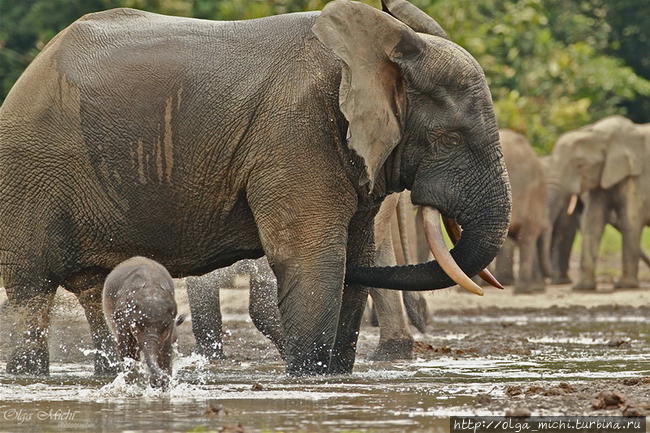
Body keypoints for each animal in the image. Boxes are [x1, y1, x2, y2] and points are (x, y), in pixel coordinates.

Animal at [0, 0, 508, 374]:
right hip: (29, 179)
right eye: (451, 138)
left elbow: (355, 257)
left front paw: (335, 377)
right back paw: (29, 374)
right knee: (30, 293)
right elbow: (315, 260)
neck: (365, 57)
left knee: (94, 291)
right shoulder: (294, 135)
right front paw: (308, 378)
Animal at [102, 256, 182, 388]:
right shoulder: (123, 317)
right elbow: (127, 351)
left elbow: (165, 351)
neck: (151, 287)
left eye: (165, 327)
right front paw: (135, 385)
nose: (160, 379)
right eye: (137, 326)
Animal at [548, 115, 648, 290]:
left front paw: (625, 285)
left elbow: (630, 222)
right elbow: (593, 222)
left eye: (580, 165)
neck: (598, 134)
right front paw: (582, 288)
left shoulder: (637, 175)